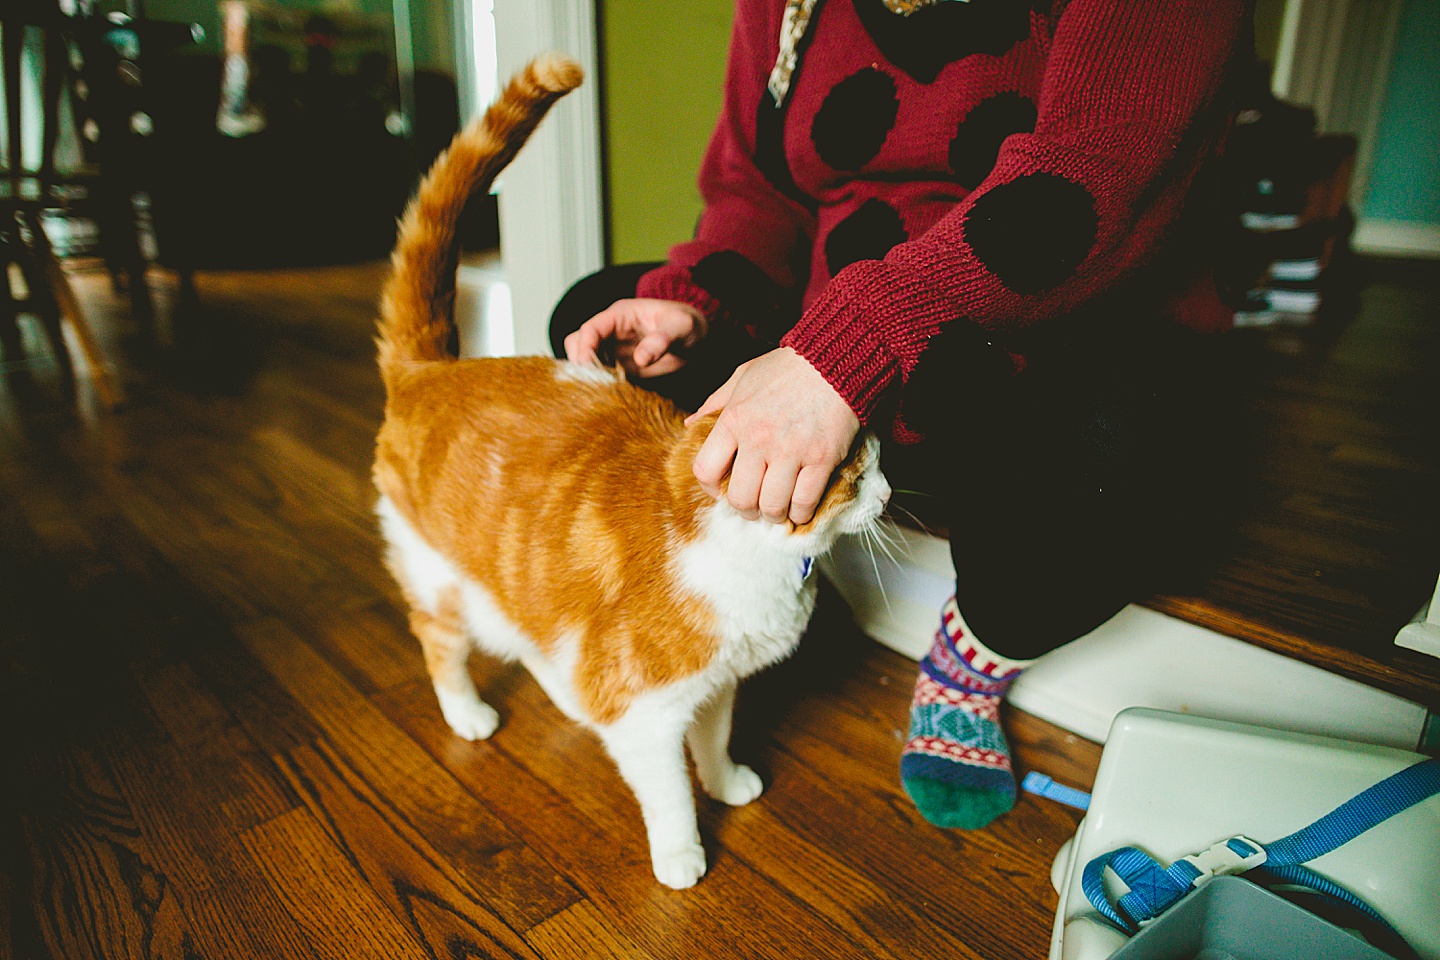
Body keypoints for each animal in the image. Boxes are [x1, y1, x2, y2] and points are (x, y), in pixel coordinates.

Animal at [371, 56, 887, 892]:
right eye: (858, 474)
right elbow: (669, 792)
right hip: (441, 582)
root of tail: (429, 368)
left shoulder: (717, 687)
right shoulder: (648, 715)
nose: (890, 494)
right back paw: (469, 714)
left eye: (876, 462)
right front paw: (681, 856)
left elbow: (713, 743)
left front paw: (728, 782)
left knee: (539, 647)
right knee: (439, 643)